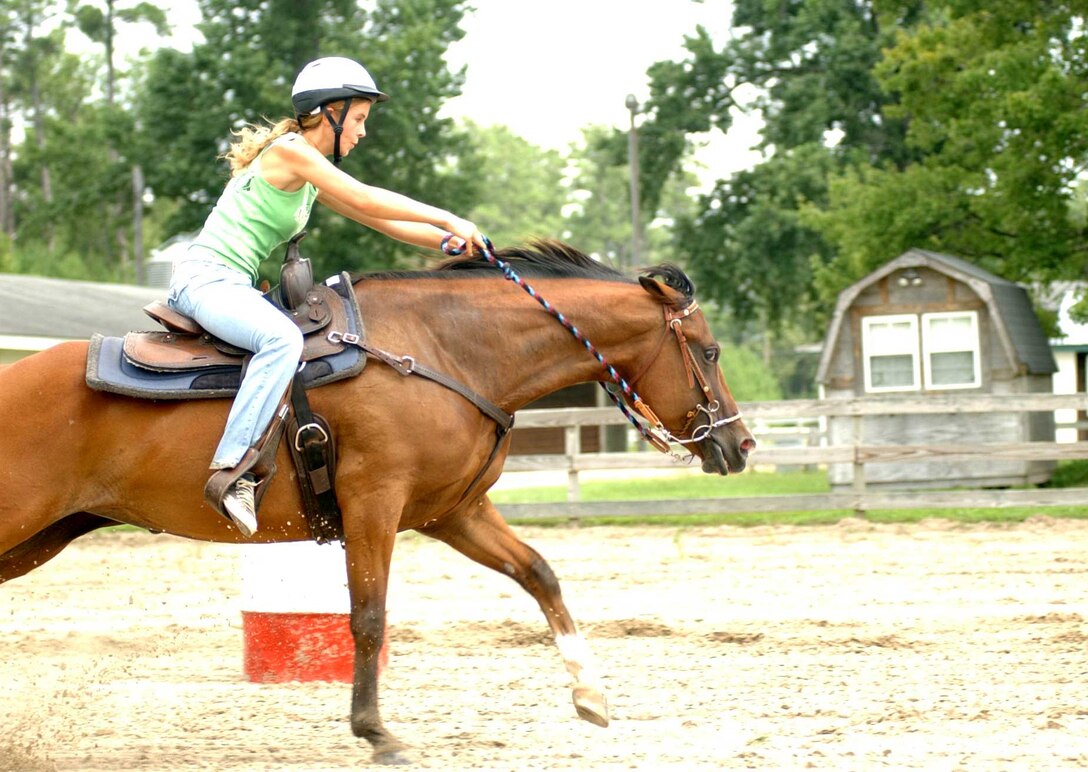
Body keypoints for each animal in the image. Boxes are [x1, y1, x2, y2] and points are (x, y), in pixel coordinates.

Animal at [0, 240, 752, 761]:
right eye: (711, 352)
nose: (740, 445)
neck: (444, 351)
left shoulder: (453, 512)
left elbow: (539, 573)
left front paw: (590, 694)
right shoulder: (375, 506)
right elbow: (367, 617)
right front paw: (375, 731)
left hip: (42, 536)